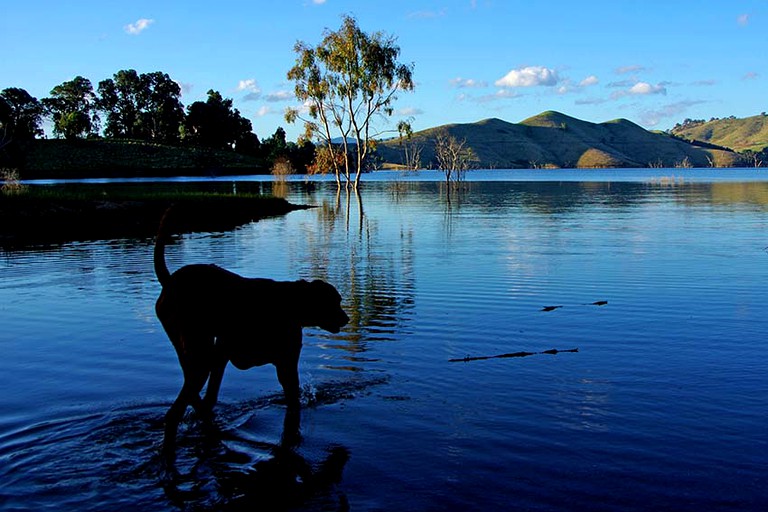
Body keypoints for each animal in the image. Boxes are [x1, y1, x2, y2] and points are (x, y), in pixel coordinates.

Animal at [156, 210, 348, 454]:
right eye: (335, 302)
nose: (346, 318)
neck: (291, 303)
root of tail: (170, 281)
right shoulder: (285, 363)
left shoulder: (226, 354)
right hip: (199, 352)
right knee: (176, 411)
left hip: (194, 353)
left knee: (193, 394)